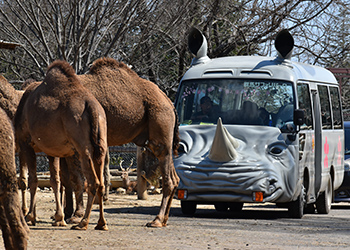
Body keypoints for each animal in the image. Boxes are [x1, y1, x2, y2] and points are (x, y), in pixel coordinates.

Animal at [14, 60, 108, 230]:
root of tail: (91, 105)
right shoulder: (52, 150)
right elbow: (55, 181)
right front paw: (59, 217)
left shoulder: (26, 143)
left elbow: (33, 180)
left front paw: (30, 216)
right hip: (101, 143)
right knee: (101, 183)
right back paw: (101, 223)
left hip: (83, 147)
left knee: (93, 182)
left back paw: (83, 223)